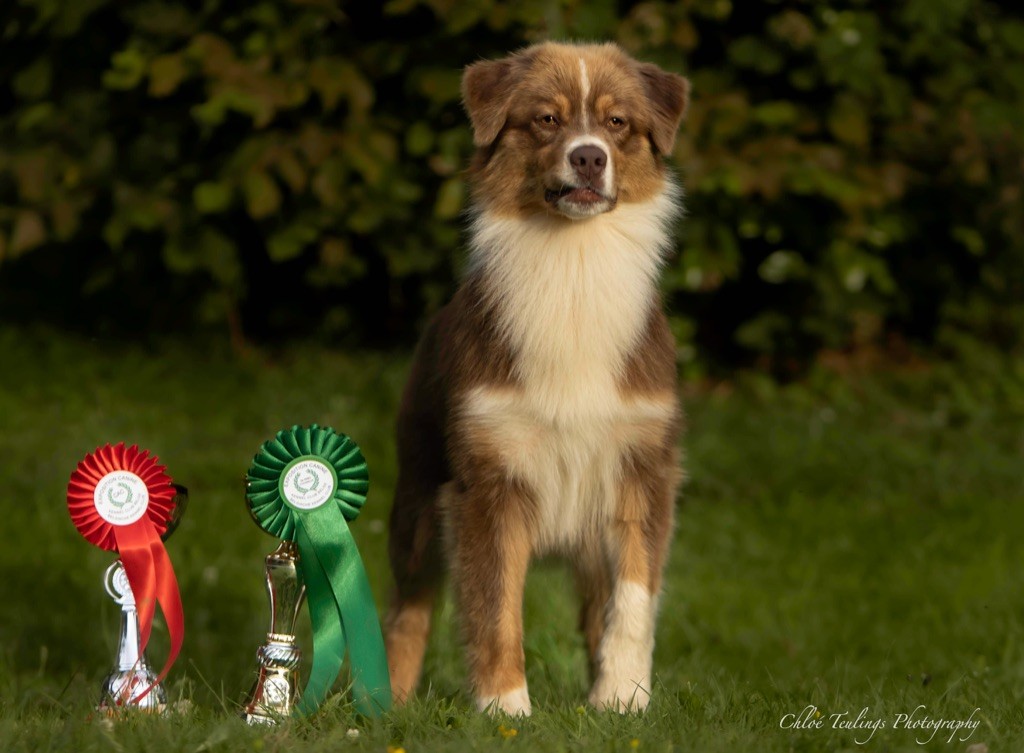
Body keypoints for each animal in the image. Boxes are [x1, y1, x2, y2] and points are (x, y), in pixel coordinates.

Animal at [385, 42, 688, 717]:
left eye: (617, 123)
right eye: (547, 120)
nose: (588, 156)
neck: (574, 266)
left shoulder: (643, 469)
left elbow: (634, 600)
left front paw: (622, 701)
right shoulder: (487, 479)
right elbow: (495, 608)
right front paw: (506, 710)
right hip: (417, 493)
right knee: (405, 609)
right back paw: (383, 704)